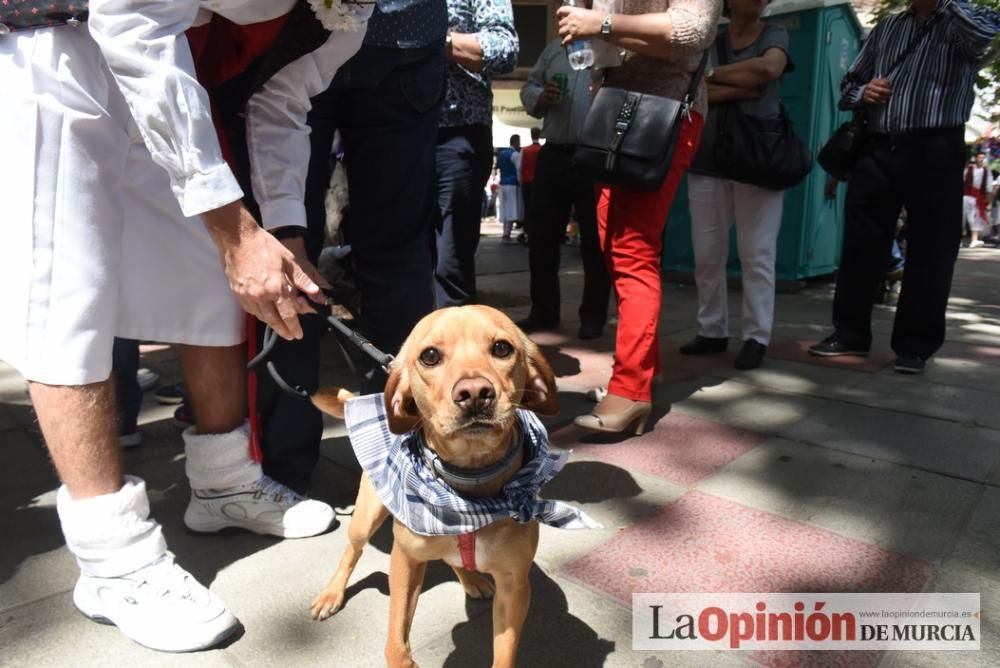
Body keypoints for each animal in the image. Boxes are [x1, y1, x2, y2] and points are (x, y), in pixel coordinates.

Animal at [310, 306, 560, 664]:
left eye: (502, 348)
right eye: (429, 356)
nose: (474, 393)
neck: (467, 496)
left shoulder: (514, 586)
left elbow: (504, 654)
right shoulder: (405, 562)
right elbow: (395, 643)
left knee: (451, 558)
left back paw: (471, 579)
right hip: (366, 518)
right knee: (352, 550)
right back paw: (331, 594)